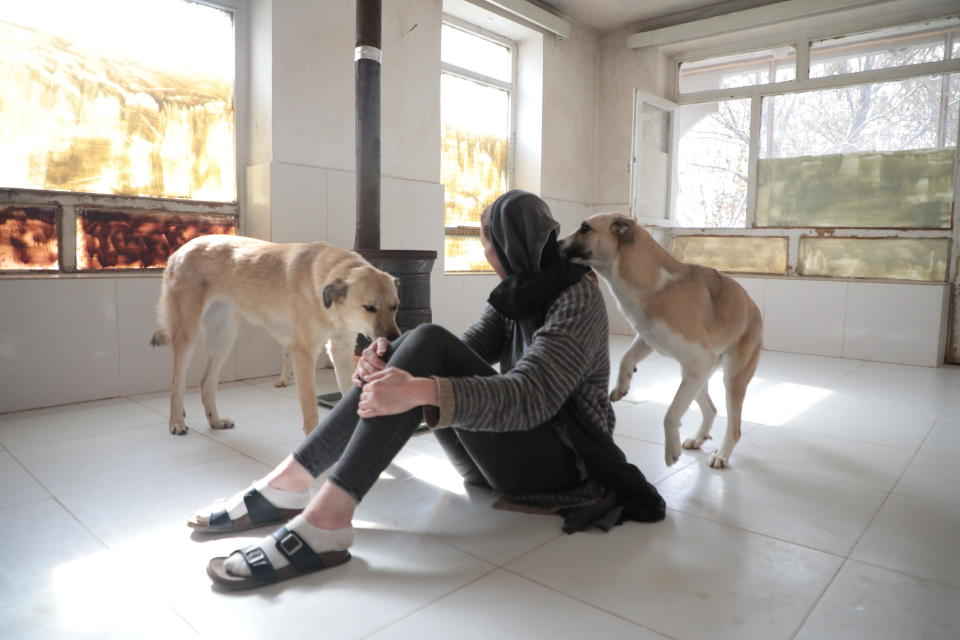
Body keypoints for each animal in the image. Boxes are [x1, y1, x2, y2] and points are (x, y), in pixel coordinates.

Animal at [150, 235, 398, 436]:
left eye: (395, 306)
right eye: (369, 308)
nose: (394, 339)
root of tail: (181, 250)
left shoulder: (341, 349)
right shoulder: (304, 354)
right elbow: (310, 409)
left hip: (224, 337)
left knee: (206, 382)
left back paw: (216, 422)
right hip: (187, 335)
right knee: (177, 383)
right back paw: (176, 422)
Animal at [560, 212, 760, 468]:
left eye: (585, 228)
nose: (555, 244)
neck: (653, 284)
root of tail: (754, 308)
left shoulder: (697, 360)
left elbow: (670, 414)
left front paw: (671, 449)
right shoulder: (648, 340)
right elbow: (626, 358)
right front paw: (622, 385)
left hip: (729, 379)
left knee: (734, 428)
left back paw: (722, 455)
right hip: (697, 378)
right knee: (711, 410)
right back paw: (698, 438)